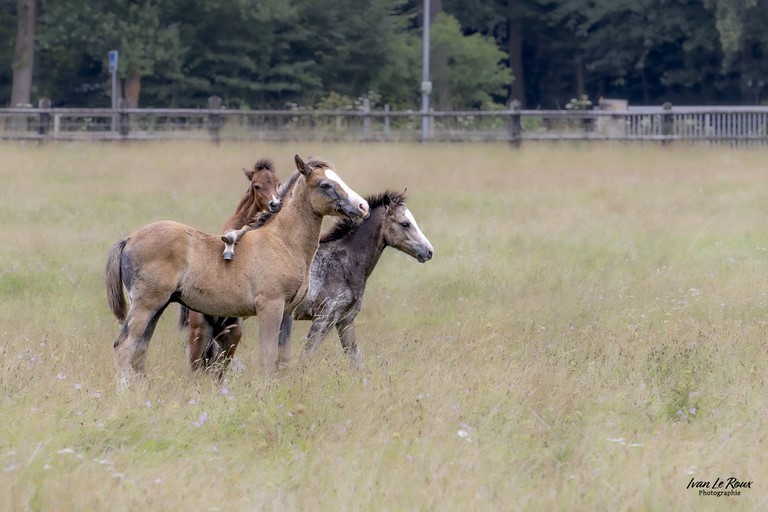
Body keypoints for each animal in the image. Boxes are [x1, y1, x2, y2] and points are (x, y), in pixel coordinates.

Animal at [196, 190, 433, 371]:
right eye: (405, 223)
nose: (429, 251)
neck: (343, 262)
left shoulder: (345, 321)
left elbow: (357, 362)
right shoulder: (324, 318)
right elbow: (305, 358)